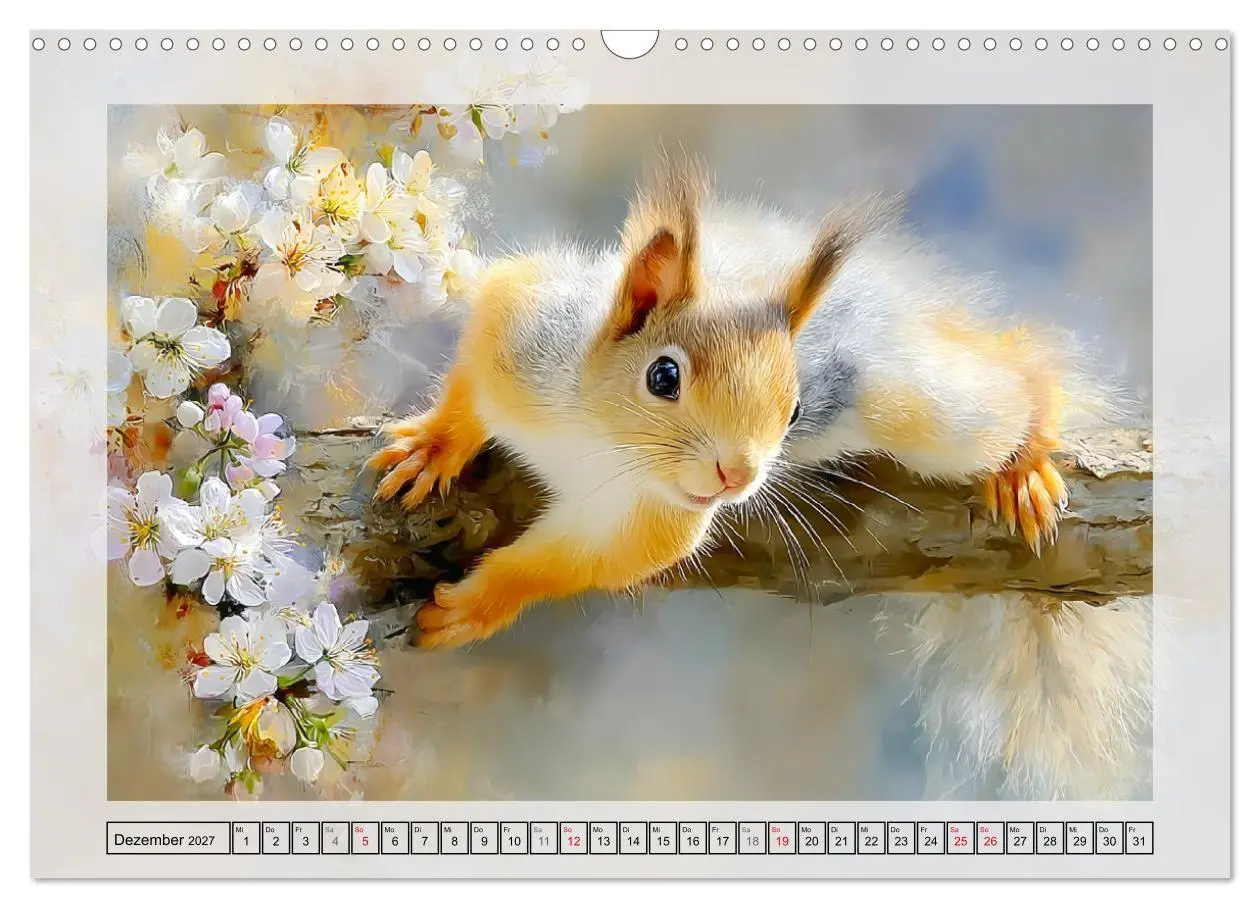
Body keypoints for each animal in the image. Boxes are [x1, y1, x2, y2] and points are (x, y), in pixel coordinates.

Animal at [366, 156, 1080, 649]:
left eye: (795, 411)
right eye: (663, 376)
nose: (735, 476)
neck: (602, 439)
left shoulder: (647, 523)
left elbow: (563, 566)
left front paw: (475, 606)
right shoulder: (519, 331)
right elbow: (471, 378)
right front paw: (432, 447)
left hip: (922, 409)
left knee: (1013, 383)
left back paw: (1026, 459)